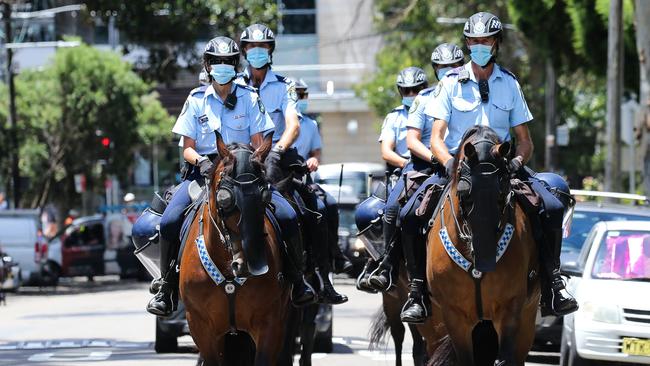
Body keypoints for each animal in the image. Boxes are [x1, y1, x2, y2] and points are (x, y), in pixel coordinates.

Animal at [426, 124, 536, 364]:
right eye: (464, 192)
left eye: (502, 192)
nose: (485, 262)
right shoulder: (453, 315)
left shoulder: (510, 308)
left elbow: (504, 359)